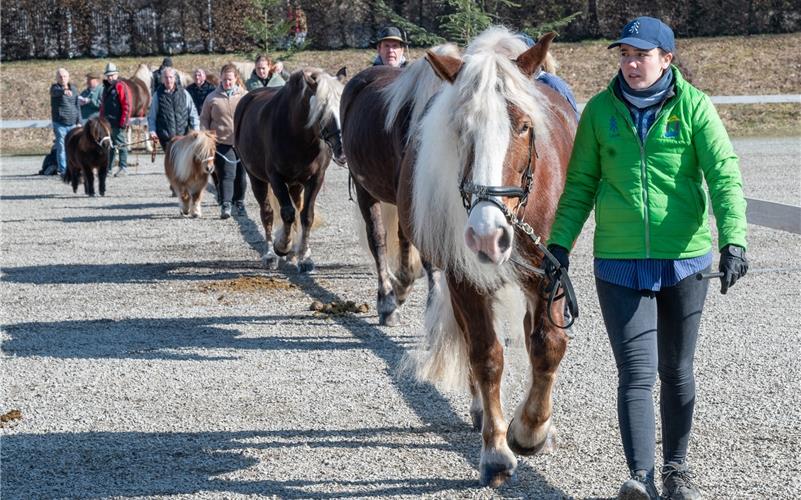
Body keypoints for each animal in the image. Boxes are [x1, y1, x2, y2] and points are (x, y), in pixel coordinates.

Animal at [231, 67, 344, 274]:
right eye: (323, 108)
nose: (342, 150)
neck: (297, 133)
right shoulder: (276, 178)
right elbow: (286, 213)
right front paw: (282, 246)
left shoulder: (316, 178)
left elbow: (306, 215)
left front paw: (304, 256)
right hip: (257, 179)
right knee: (267, 213)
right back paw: (271, 254)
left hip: (296, 184)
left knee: (297, 208)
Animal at [396, 27, 580, 484]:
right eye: (462, 129)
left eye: (525, 127)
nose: (486, 236)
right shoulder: (463, 280)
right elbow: (486, 355)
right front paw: (496, 449)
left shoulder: (551, 273)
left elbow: (548, 344)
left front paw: (531, 429)